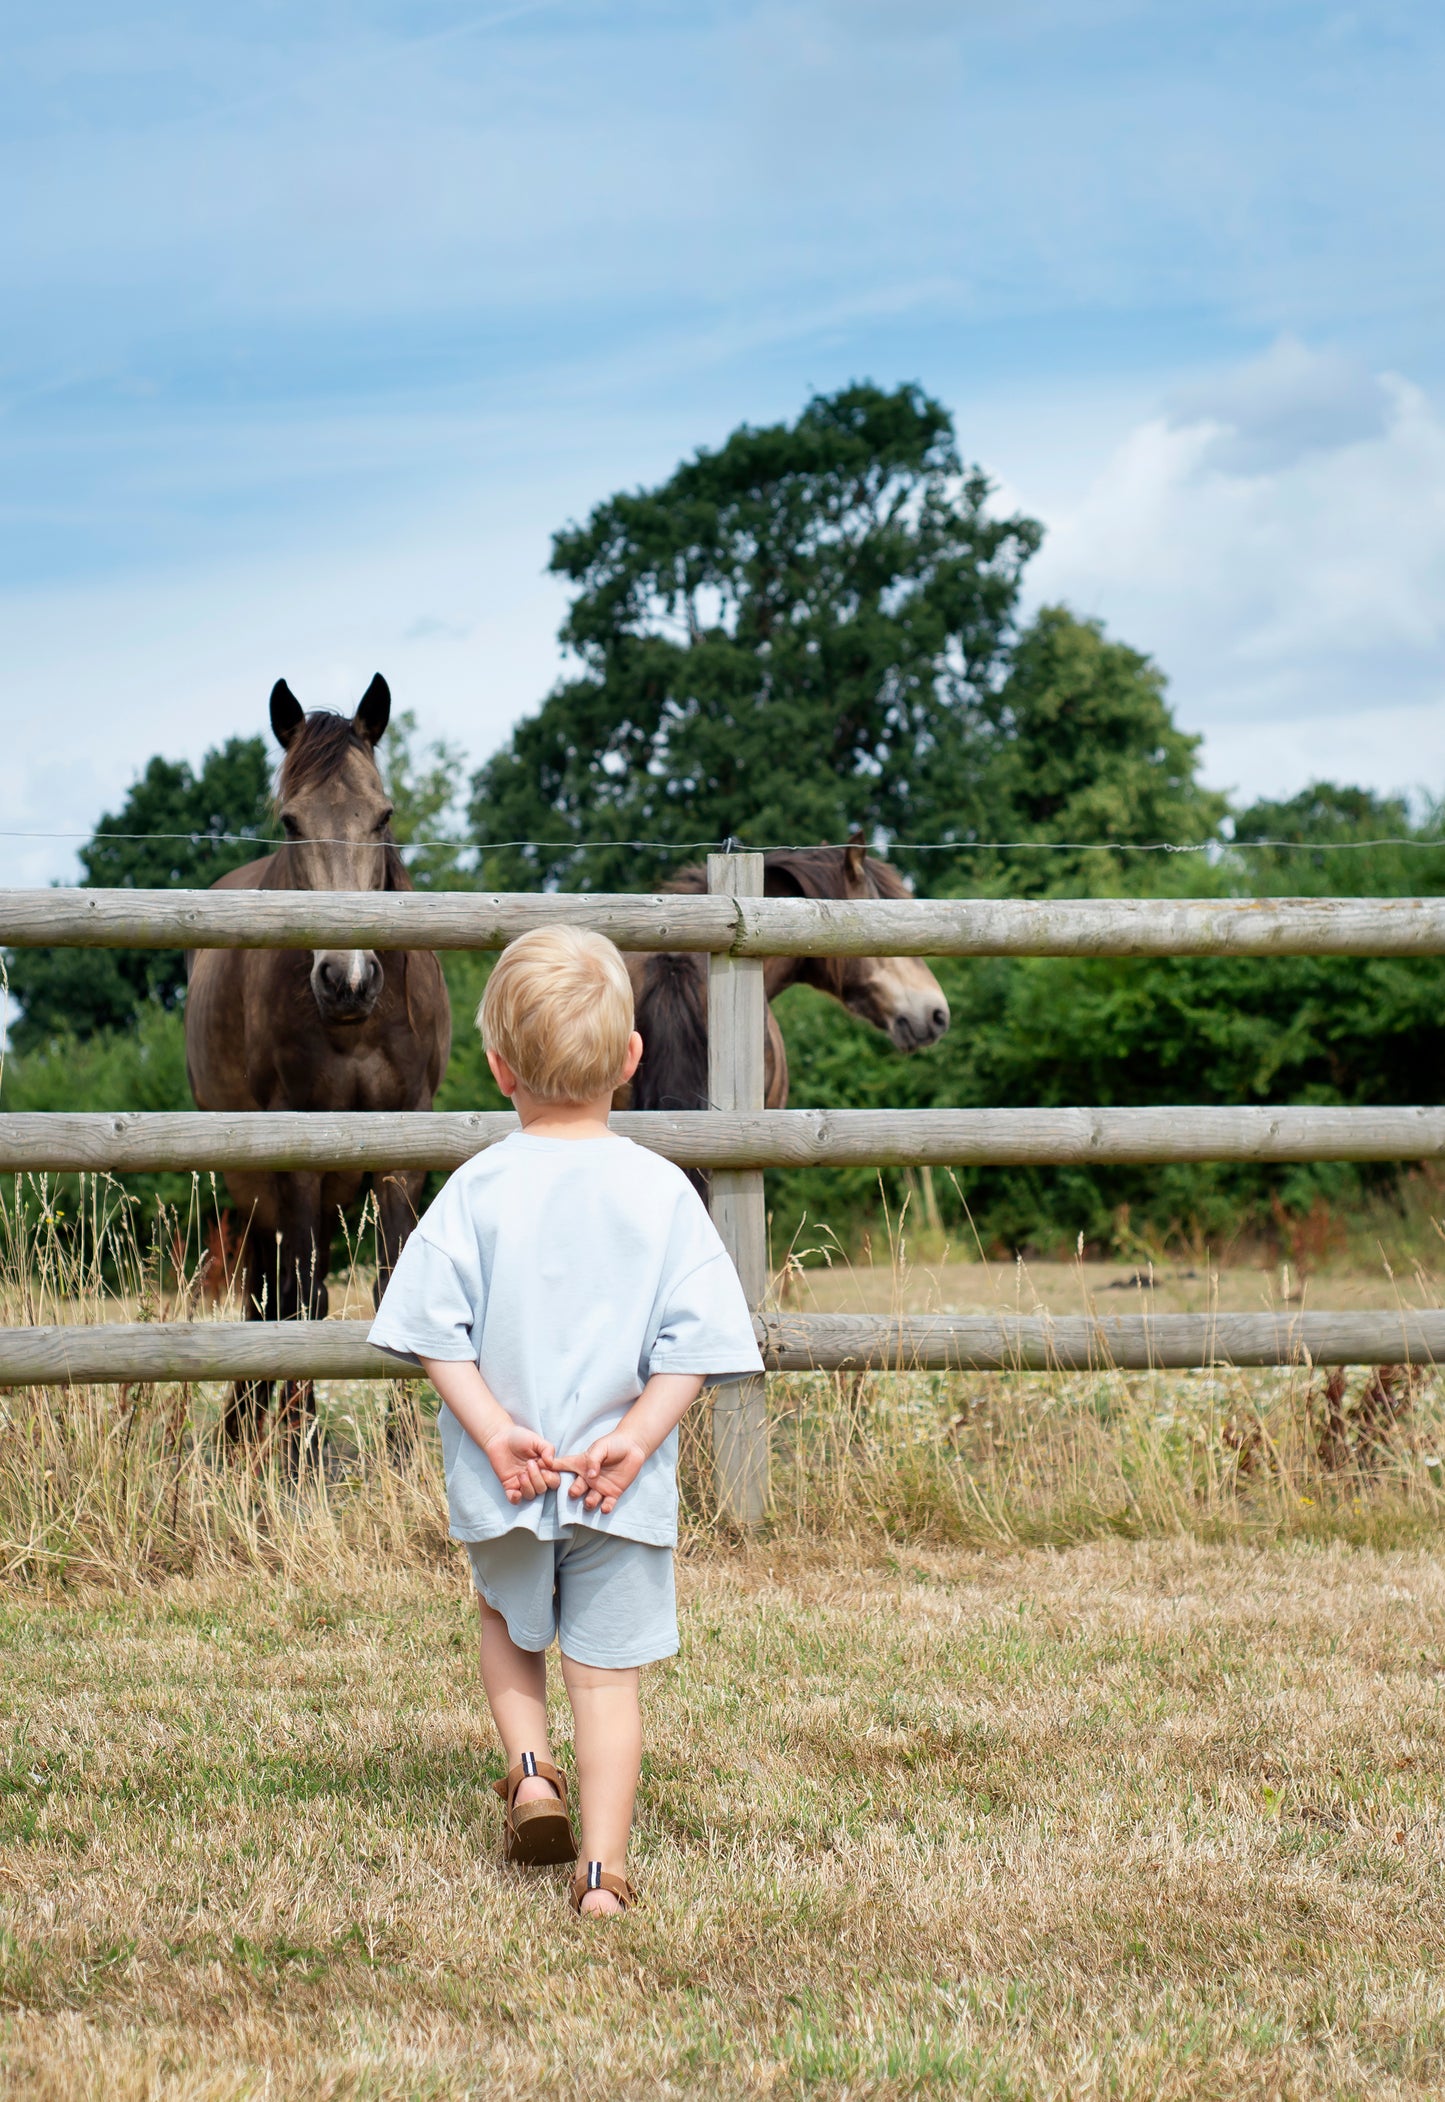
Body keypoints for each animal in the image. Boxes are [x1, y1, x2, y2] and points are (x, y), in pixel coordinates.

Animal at [185, 672, 452, 1462]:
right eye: (292, 820)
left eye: (382, 815)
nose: (347, 979)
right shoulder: (295, 1154)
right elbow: (301, 1298)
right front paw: (297, 1450)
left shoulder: (403, 1150)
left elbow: (391, 1285)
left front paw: (404, 1449)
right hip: (253, 1184)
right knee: (265, 1292)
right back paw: (251, 1432)